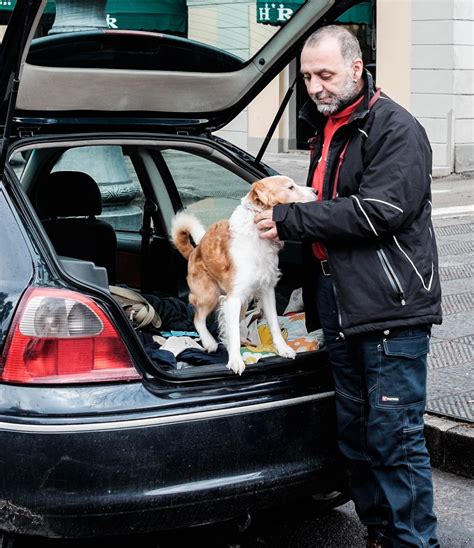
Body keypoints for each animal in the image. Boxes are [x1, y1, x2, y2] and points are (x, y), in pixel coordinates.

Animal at [170, 178, 314, 374]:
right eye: (290, 187)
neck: (257, 234)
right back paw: (209, 342)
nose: (315, 191)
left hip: (242, 303)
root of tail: (194, 251)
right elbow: (233, 333)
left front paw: (283, 348)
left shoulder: (267, 291)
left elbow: (274, 324)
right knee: (198, 319)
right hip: (210, 295)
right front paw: (236, 360)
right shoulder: (233, 298)